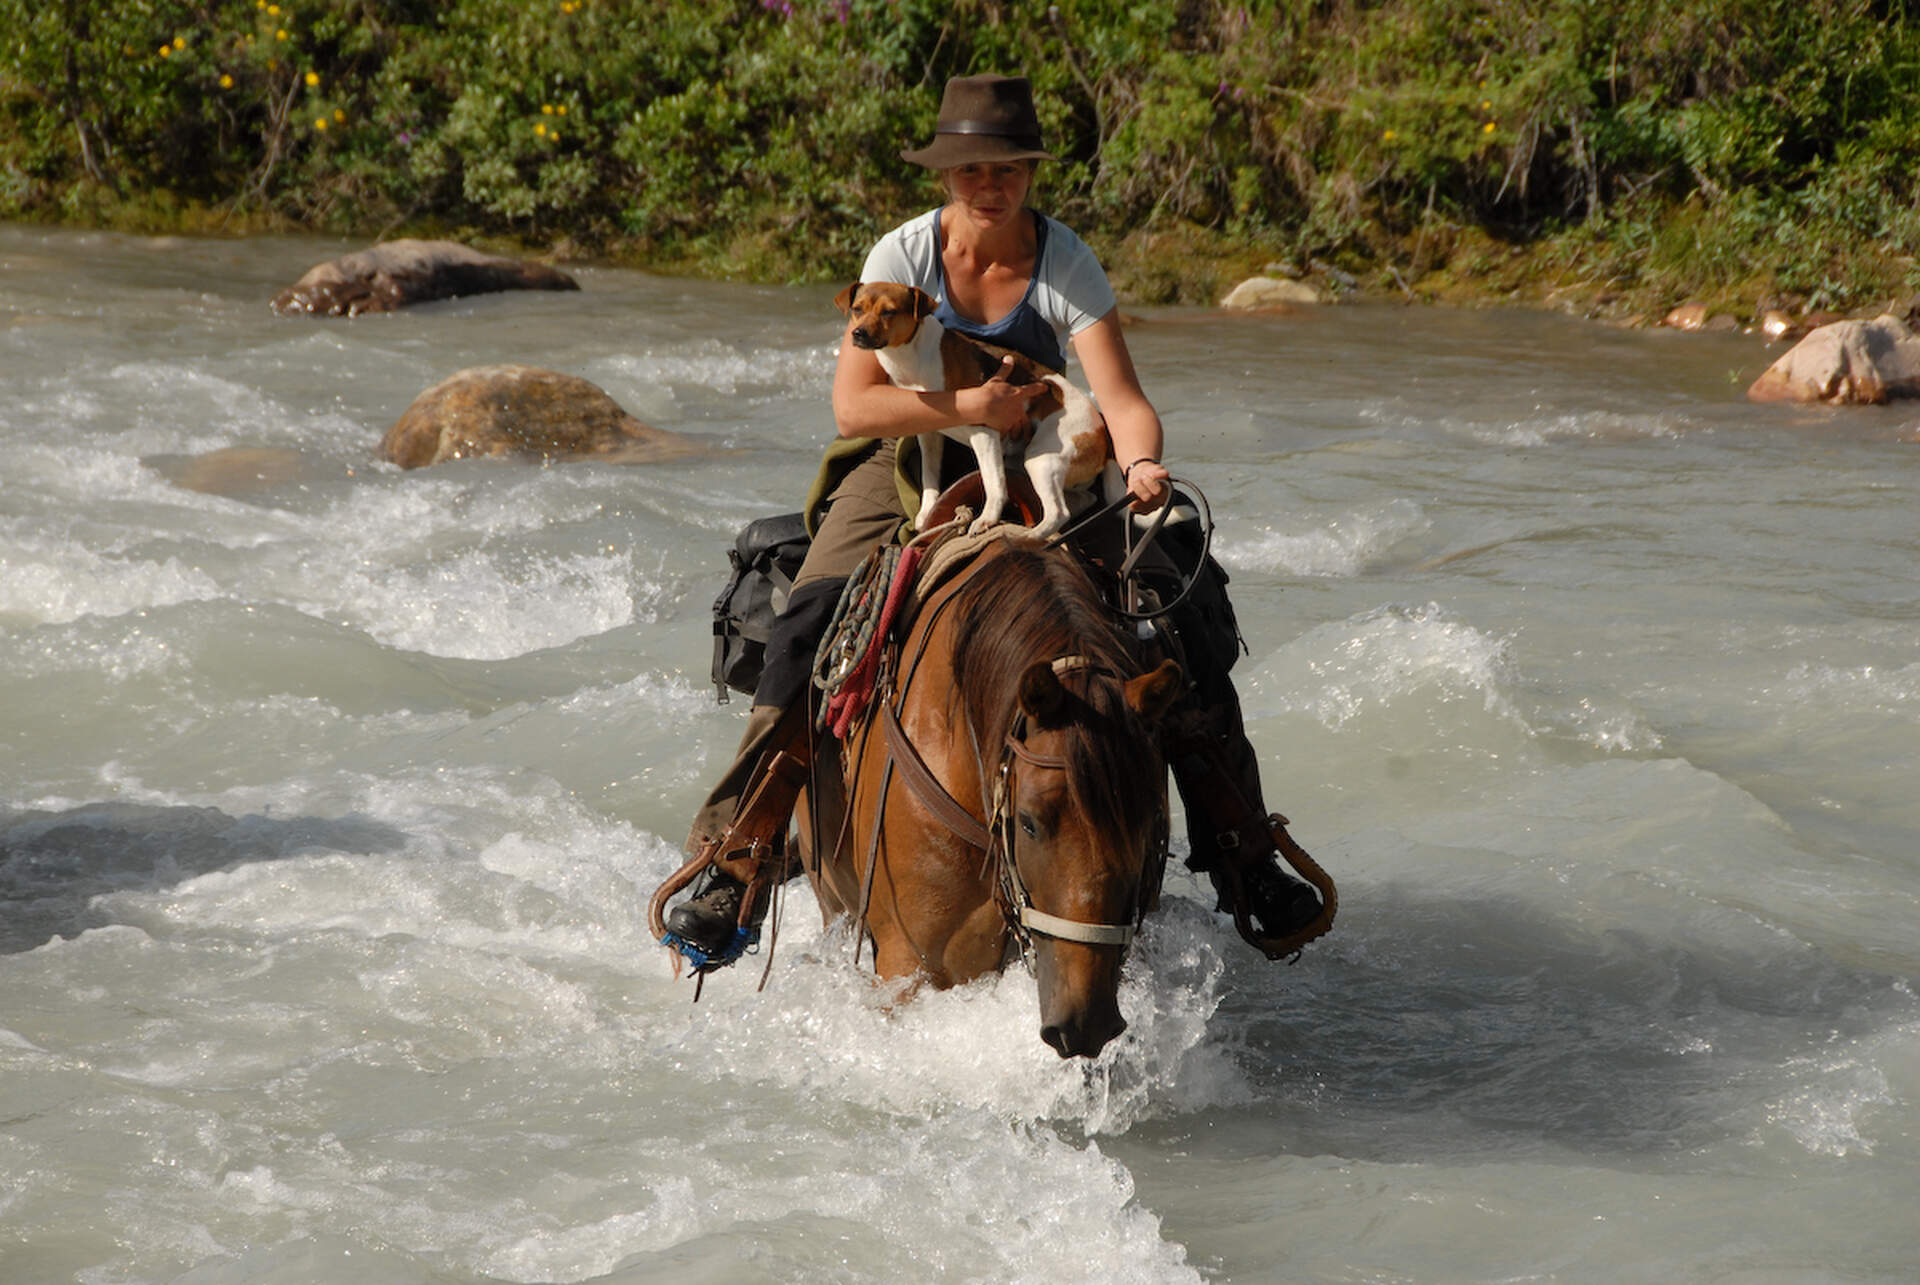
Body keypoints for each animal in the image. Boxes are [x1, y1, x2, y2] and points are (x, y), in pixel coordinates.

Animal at [833, 280, 1121, 537]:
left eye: (889, 312)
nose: (858, 334)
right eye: (857, 309)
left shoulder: (985, 433)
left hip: (1040, 458)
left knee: (1058, 513)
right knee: (1083, 499)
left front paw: (988, 519)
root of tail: (1104, 437)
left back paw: (1029, 537)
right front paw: (927, 512)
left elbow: (994, 486)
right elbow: (929, 477)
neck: (913, 357)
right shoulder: (929, 435)